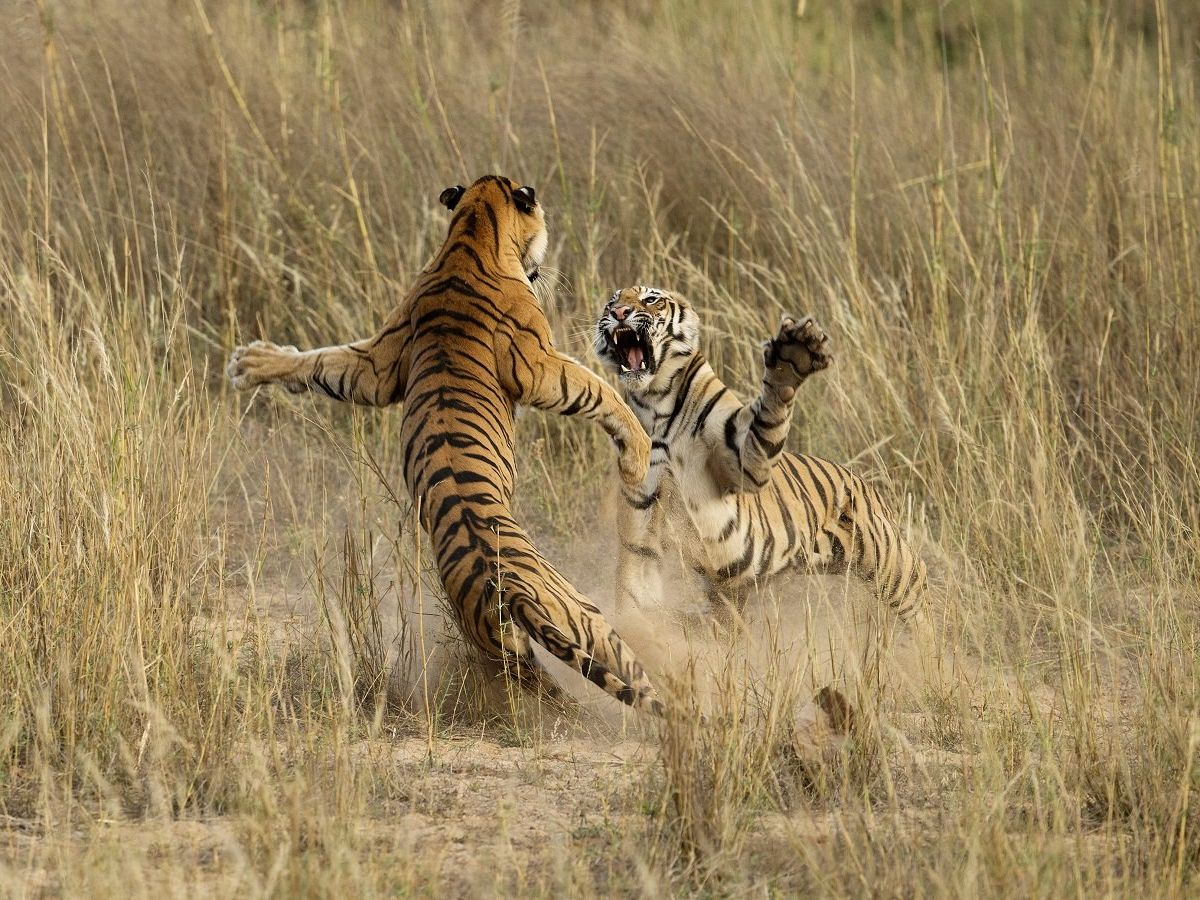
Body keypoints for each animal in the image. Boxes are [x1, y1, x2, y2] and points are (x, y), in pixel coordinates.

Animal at [226, 175, 668, 715]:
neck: (471, 231)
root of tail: (506, 590)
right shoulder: (539, 366)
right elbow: (599, 390)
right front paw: (639, 454)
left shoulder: (377, 364)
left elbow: (323, 362)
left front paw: (253, 362)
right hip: (585, 615)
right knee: (631, 674)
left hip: (507, 645)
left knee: (546, 685)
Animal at [594, 285, 928, 626]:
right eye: (612, 303)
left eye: (651, 299)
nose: (619, 313)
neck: (656, 402)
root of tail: (867, 486)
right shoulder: (643, 515)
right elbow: (636, 588)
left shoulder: (744, 462)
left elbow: (769, 412)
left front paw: (792, 355)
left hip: (891, 563)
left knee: (921, 599)